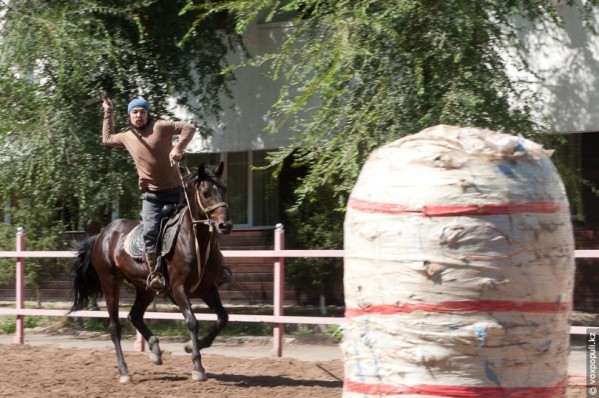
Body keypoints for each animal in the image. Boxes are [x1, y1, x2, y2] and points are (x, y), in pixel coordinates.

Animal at [68, 162, 232, 382]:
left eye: (224, 189)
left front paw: (191, 346)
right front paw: (197, 366)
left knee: (134, 316)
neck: (194, 239)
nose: (225, 225)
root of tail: (102, 235)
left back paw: (154, 349)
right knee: (115, 326)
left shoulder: (207, 287)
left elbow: (223, 317)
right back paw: (124, 371)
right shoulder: (179, 287)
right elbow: (192, 321)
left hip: (146, 288)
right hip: (110, 282)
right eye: (205, 193)